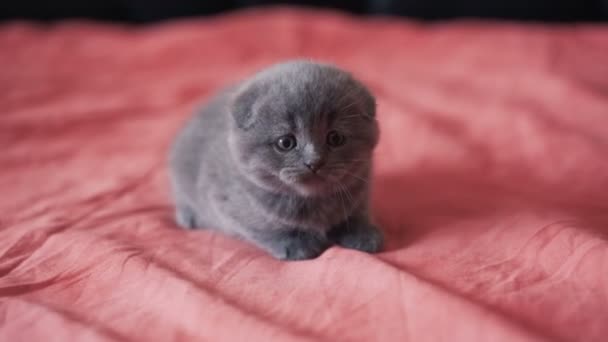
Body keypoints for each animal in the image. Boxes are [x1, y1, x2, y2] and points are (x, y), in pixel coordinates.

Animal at [169, 60, 382, 260]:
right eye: (286, 142)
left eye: (335, 138)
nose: (314, 161)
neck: (312, 202)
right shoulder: (224, 201)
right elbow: (265, 228)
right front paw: (296, 244)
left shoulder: (362, 189)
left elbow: (356, 214)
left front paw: (362, 233)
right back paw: (188, 217)